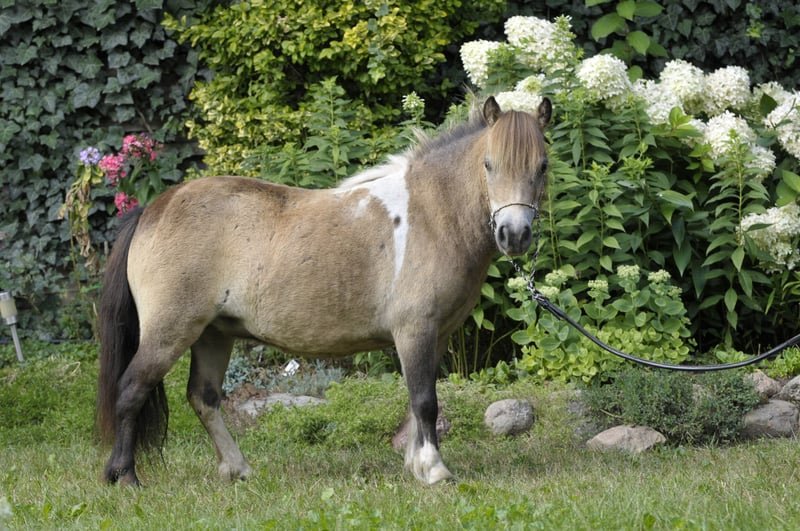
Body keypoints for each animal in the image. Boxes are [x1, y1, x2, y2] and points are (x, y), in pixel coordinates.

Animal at [96, 95, 552, 486]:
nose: (514, 234)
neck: (432, 214)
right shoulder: (414, 331)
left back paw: (238, 468)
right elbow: (425, 400)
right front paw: (435, 470)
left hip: (213, 334)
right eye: (489, 164)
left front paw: (416, 465)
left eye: (543, 165)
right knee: (132, 390)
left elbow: (415, 402)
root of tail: (152, 209)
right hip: (169, 332)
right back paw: (125, 477)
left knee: (203, 398)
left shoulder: (433, 336)